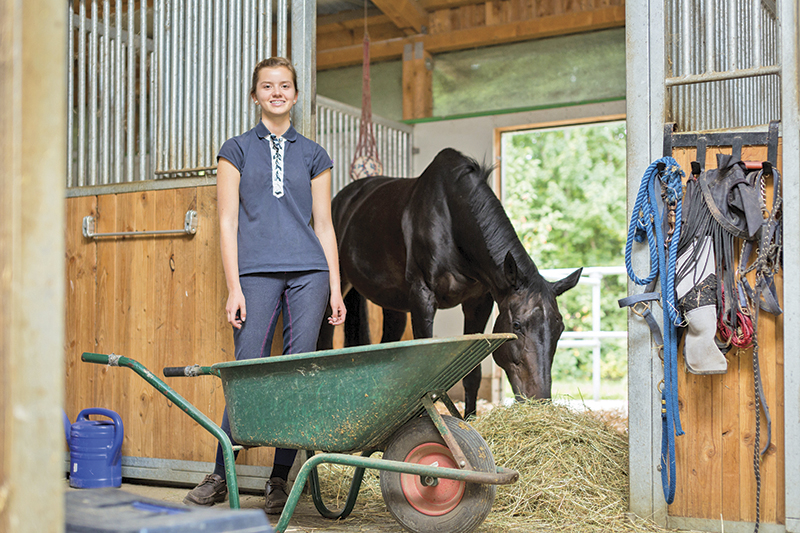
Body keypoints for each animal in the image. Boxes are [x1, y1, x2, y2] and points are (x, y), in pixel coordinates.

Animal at [317, 148, 582, 417]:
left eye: (560, 328)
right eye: (517, 325)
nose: (540, 402)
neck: (453, 222)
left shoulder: (478, 303)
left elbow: (473, 374)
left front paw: (470, 419)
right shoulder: (422, 298)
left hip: (392, 302)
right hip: (339, 288)